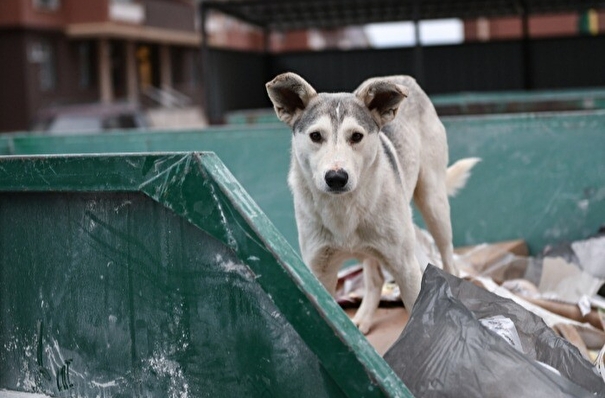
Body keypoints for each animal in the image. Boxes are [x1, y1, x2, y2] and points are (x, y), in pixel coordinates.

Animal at [266, 71, 478, 332]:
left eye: (356, 136)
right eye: (315, 136)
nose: (336, 178)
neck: (344, 209)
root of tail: (402, 77)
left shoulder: (405, 267)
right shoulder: (319, 271)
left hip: (433, 203)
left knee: (448, 257)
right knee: (375, 279)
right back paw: (363, 319)